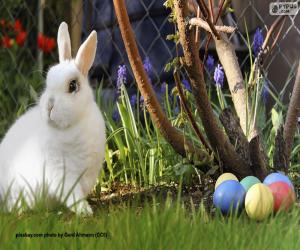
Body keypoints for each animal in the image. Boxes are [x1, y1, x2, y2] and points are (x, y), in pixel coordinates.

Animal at [0, 22, 106, 215]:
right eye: (48, 81)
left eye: (73, 86)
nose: (49, 105)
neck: (71, 126)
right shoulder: (61, 172)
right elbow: (72, 194)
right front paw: (84, 211)